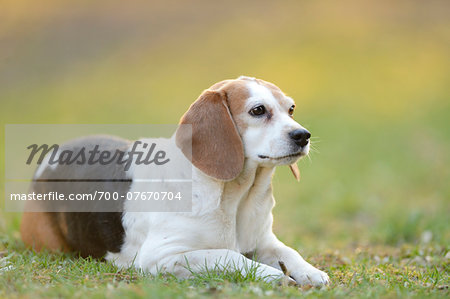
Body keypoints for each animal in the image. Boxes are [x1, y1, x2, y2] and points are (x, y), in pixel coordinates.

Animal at [21, 77, 328, 288]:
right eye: (258, 110)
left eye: (291, 108)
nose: (303, 135)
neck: (235, 197)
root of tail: (54, 155)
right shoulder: (162, 257)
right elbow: (230, 256)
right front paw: (272, 275)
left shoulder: (264, 241)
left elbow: (289, 252)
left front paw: (310, 271)